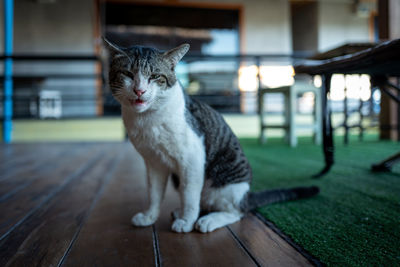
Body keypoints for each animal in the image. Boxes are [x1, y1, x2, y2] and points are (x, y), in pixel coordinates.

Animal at [104, 39, 318, 234]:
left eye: (155, 76)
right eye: (127, 74)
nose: (139, 90)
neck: (148, 119)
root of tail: (247, 195)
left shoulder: (192, 159)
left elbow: (190, 195)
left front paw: (186, 222)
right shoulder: (154, 162)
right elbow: (154, 194)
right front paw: (149, 217)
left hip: (224, 185)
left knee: (236, 211)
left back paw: (208, 220)